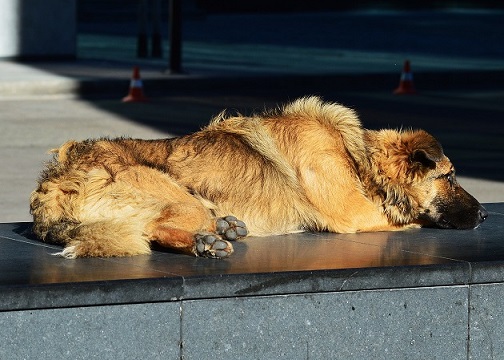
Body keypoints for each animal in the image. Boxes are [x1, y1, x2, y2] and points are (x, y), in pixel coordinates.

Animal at [29, 95, 486, 258]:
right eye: (450, 176)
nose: (485, 216)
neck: (357, 156)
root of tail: (52, 184)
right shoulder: (357, 215)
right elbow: (409, 221)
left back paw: (223, 228)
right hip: (176, 193)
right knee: (153, 227)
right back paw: (206, 243)